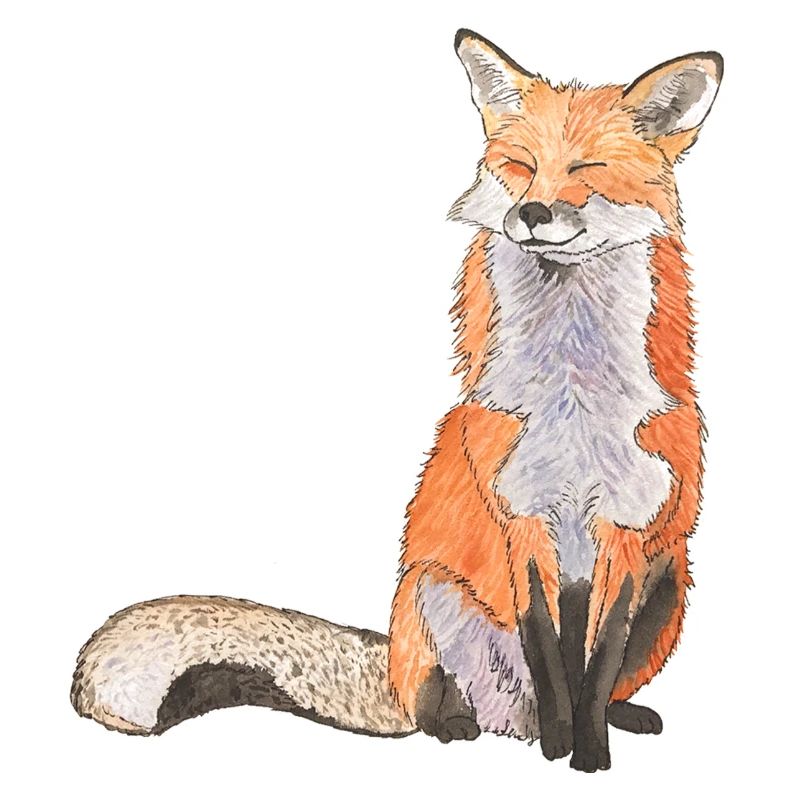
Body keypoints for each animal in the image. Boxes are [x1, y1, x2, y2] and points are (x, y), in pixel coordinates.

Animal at [71, 30, 722, 772]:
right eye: (521, 167)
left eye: (588, 169)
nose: (531, 214)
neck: (574, 397)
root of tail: (508, 719)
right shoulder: (520, 517)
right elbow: (549, 652)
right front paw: (562, 750)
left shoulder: (630, 529)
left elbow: (597, 658)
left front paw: (588, 755)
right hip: (429, 594)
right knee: (438, 703)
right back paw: (468, 726)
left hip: (673, 581)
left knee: (605, 680)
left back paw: (619, 717)